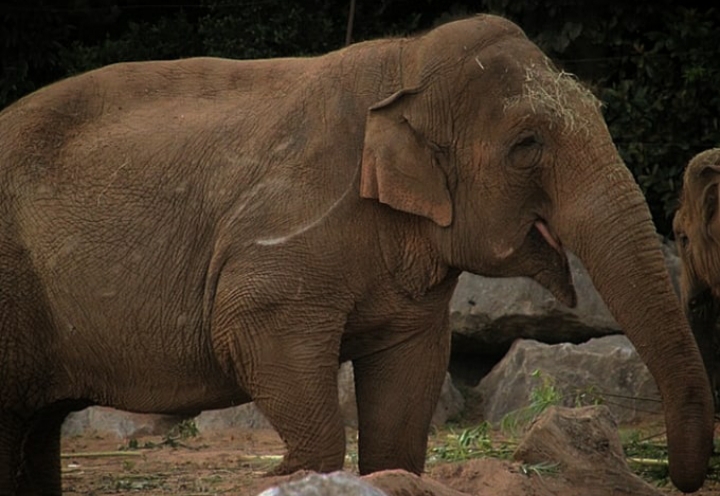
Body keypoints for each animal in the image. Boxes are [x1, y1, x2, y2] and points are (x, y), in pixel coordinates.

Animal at [0, 13, 712, 494]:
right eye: (527, 145)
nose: (681, 479)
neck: (404, 61)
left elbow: (408, 387)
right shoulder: (293, 225)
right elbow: (247, 322)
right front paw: (289, 472)